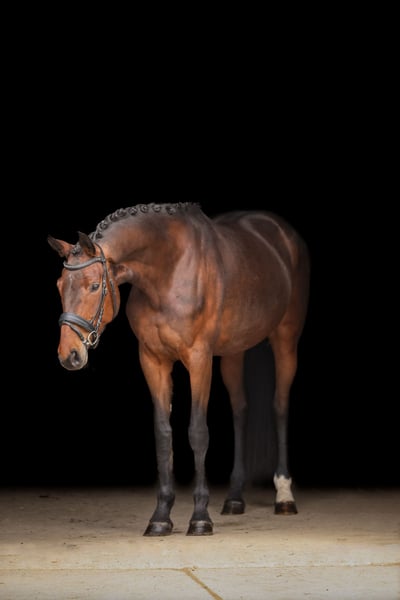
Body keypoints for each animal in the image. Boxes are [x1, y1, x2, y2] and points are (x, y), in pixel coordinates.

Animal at [48, 202, 310, 536]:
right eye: (59, 286)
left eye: (94, 286)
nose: (69, 355)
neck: (167, 272)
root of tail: (283, 233)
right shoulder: (153, 360)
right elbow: (163, 434)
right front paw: (160, 516)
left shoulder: (198, 359)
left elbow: (197, 432)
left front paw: (200, 517)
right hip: (234, 351)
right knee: (241, 410)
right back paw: (235, 497)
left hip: (285, 340)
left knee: (279, 407)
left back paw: (284, 496)